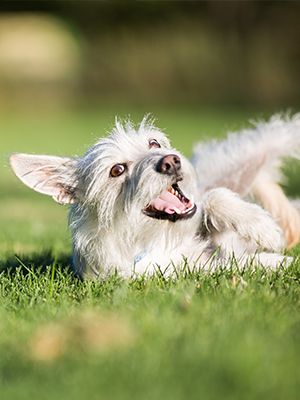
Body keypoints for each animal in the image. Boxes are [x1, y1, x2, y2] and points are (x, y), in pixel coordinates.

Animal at [9, 113, 300, 278]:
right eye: (117, 170)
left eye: (153, 143)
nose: (170, 161)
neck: (151, 236)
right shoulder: (177, 271)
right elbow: (229, 265)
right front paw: (273, 261)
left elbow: (214, 198)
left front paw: (263, 228)